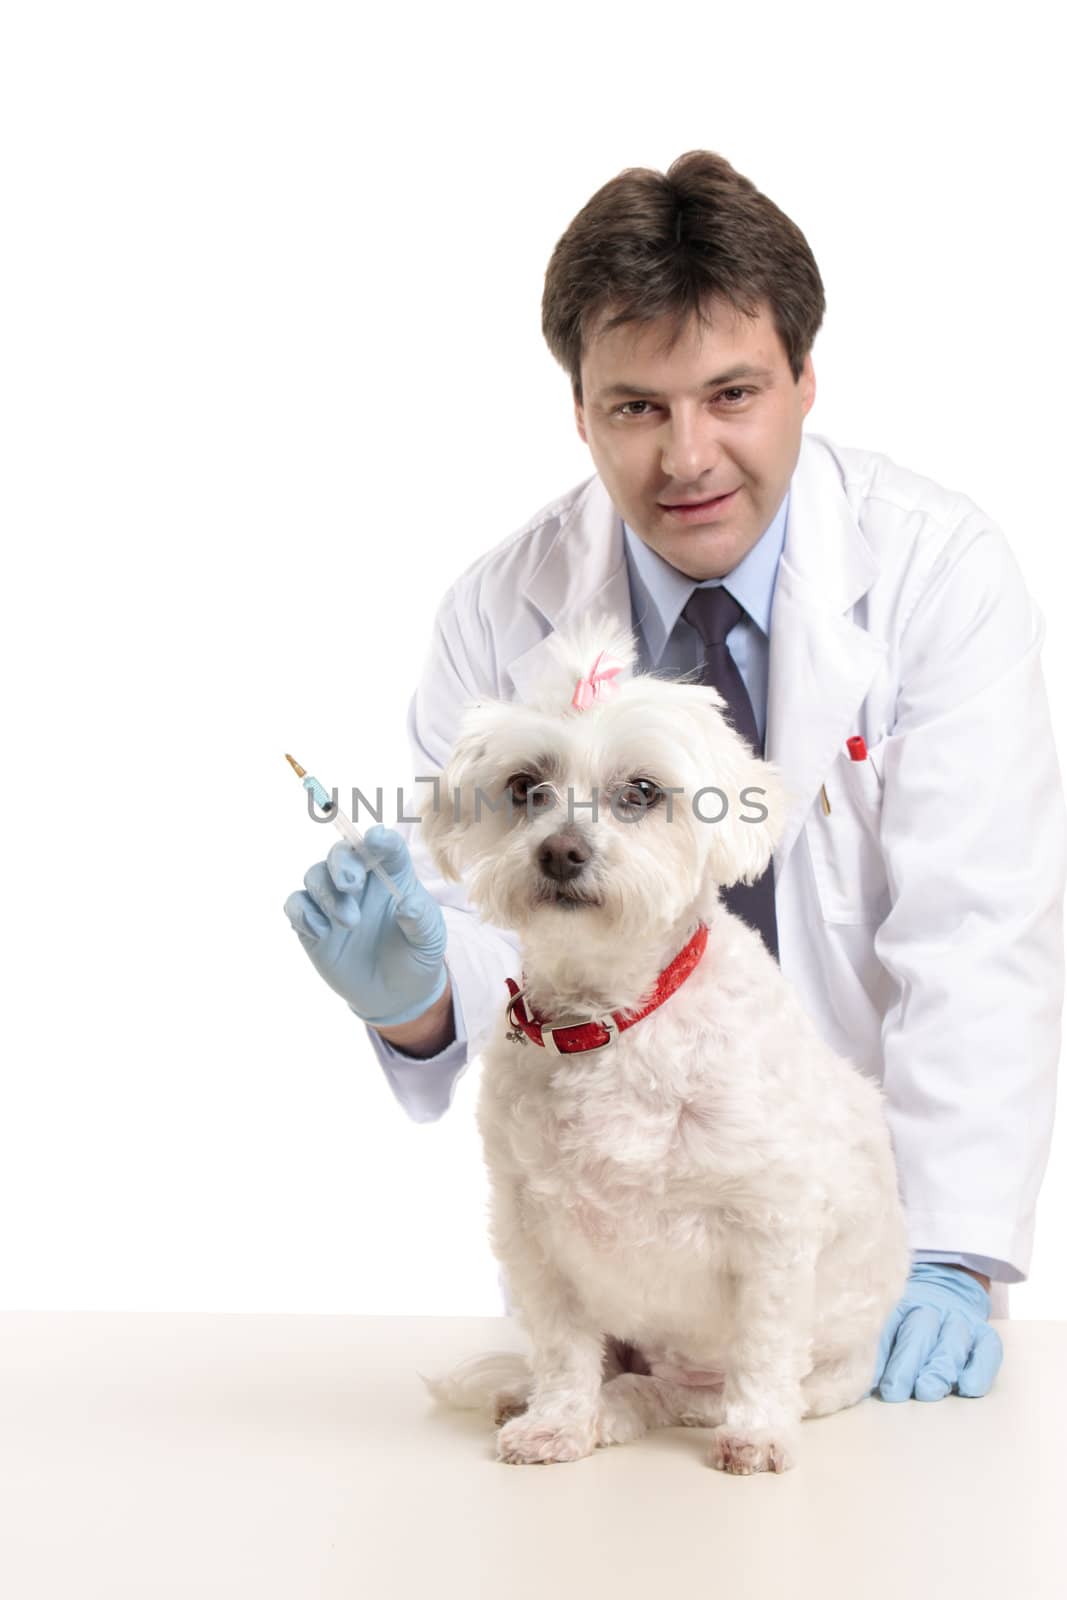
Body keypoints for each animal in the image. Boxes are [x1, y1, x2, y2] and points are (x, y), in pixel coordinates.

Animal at [419, 617, 908, 1465]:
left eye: (640, 792)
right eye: (524, 788)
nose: (561, 851)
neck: (611, 1018)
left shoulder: (772, 1226)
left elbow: (762, 1345)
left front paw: (757, 1433)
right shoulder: (532, 1233)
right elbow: (562, 1348)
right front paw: (555, 1420)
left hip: (823, 1371)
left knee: (683, 1395)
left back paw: (633, 1410)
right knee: (609, 1368)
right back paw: (553, 1402)